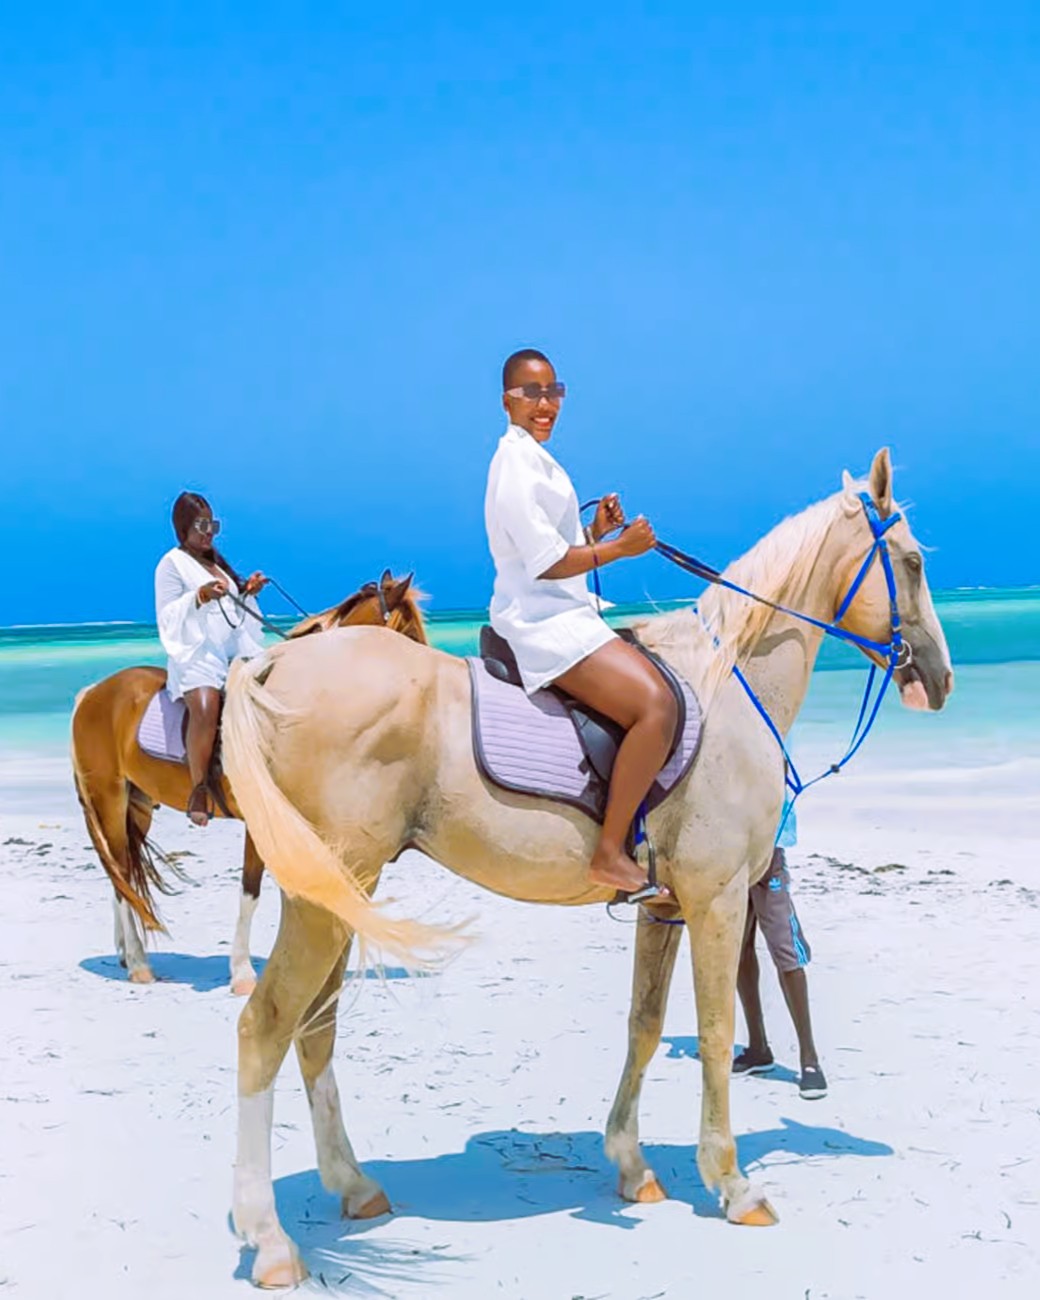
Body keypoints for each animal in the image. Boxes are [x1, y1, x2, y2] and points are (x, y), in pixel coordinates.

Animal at [70, 571, 428, 992]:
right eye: (409, 637)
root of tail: (92, 693)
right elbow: (251, 892)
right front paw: (243, 973)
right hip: (108, 800)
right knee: (122, 872)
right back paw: (140, 965)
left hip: (138, 806)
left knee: (120, 876)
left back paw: (127, 954)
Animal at [219, 450, 953, 1287]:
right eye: (913, 562)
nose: (939, 677)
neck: (729, 684)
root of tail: (275, 662)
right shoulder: (717, 899)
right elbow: (713, 1031)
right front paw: (733, 1184)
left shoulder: (663, 906)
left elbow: (643, 1026)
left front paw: (633, 1166)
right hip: (324, 900)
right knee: (266, 1026)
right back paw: (270, 1241)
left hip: (340, 894)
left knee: (314, 1029)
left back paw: (353, 1186)